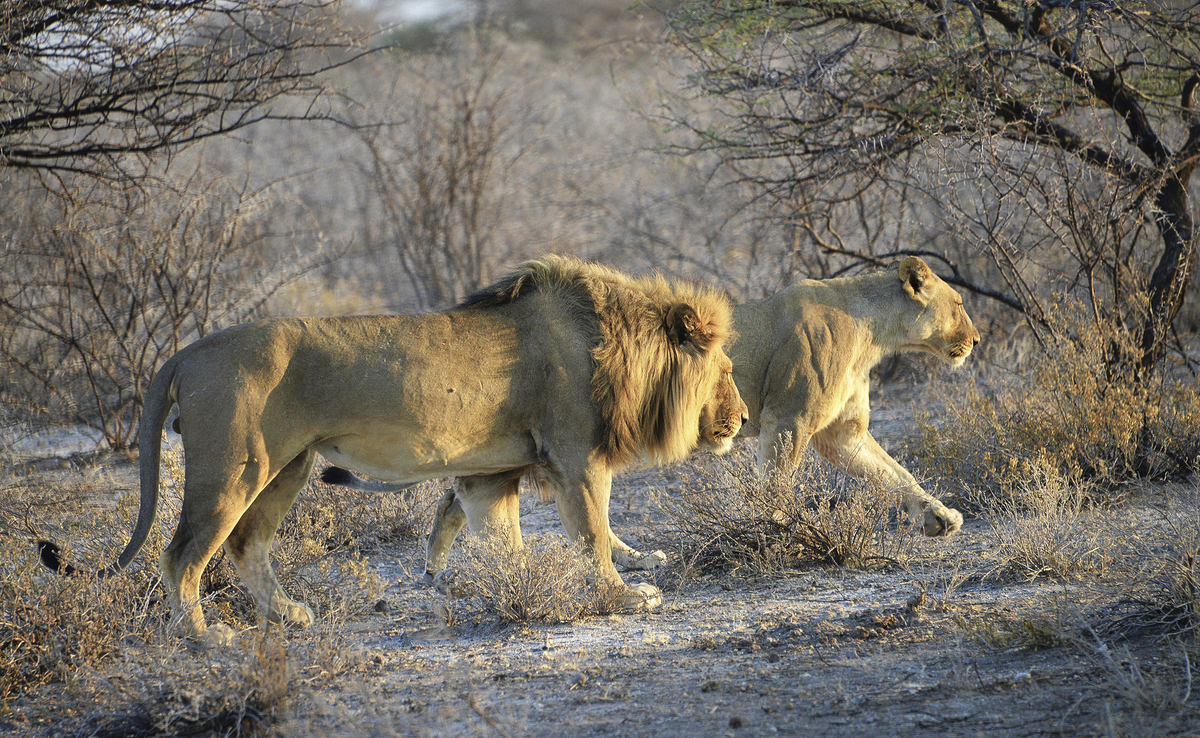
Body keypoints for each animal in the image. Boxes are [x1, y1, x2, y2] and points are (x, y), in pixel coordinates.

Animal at [39, 255, 746, 646]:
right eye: (729, 368)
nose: (741, 419)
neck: (622, 341)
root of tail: (187, 351)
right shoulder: (577, 458)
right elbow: (595, 533)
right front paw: (623, 595)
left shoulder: (491, 475)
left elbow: (504, 542)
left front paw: (517, 587)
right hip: (234, 468)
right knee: (181, 553)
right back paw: (206, 638)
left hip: (288, 467)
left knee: (245, 545)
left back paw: (290, 615)